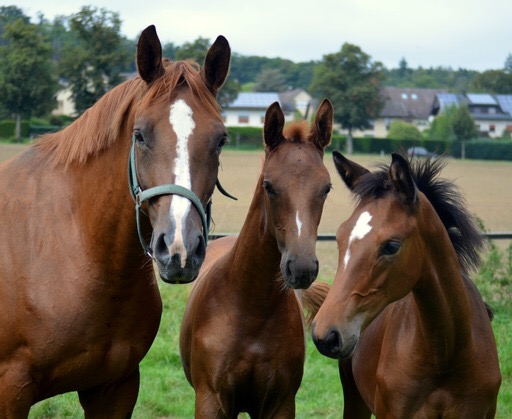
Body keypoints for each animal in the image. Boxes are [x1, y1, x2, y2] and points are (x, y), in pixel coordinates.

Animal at [182, 100, 334, 418]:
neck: (251, 308)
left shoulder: (280, 404)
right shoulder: (210, 400)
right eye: (269, 185)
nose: (301, 267)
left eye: (326, 187)